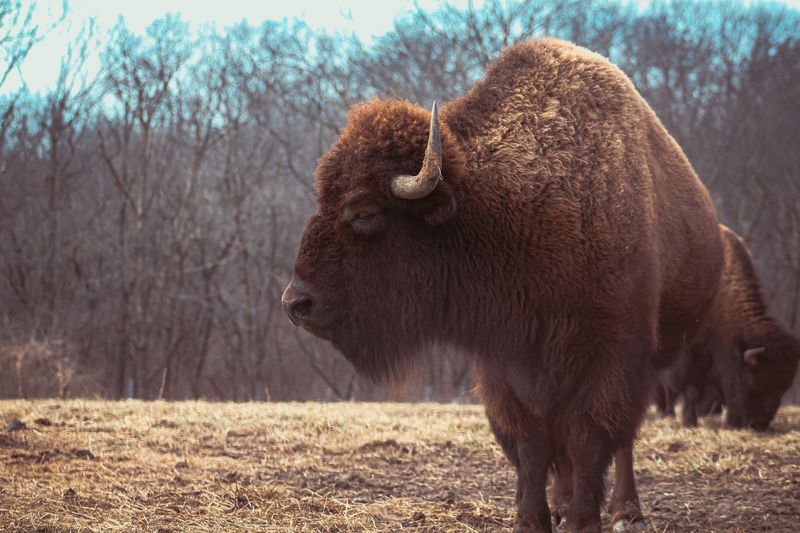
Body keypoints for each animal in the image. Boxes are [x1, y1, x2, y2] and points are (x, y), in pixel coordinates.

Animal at [282, 39, 723, 532]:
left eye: (363, 212)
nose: (296, 302)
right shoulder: (502, 364)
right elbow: (530, 444)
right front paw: (532, 519)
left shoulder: (613, 356)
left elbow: (591, 438)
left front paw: (582, 520)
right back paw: (563, 502)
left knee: (620, 442)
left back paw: (626, 510)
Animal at [657, 225, 800, 430]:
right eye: (756, 383)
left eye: (784, 387)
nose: (759, 424)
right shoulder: (687, 357)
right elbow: (690, 390)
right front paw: (690, 422)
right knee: (664, 389)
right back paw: (666, 413)